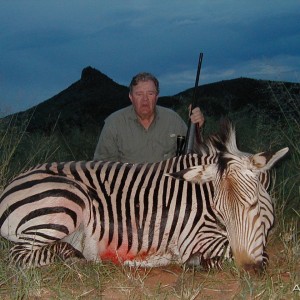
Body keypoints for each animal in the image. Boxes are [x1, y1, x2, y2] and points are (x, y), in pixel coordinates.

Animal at [0, 120, 288, 270]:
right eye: (219, 210)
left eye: (253, 205)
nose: (249, 267)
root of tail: (11, 183)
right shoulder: (195, 238)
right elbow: (244, 253)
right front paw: (198, 261)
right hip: (68, 201)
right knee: (17, 255)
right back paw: (75, 257)